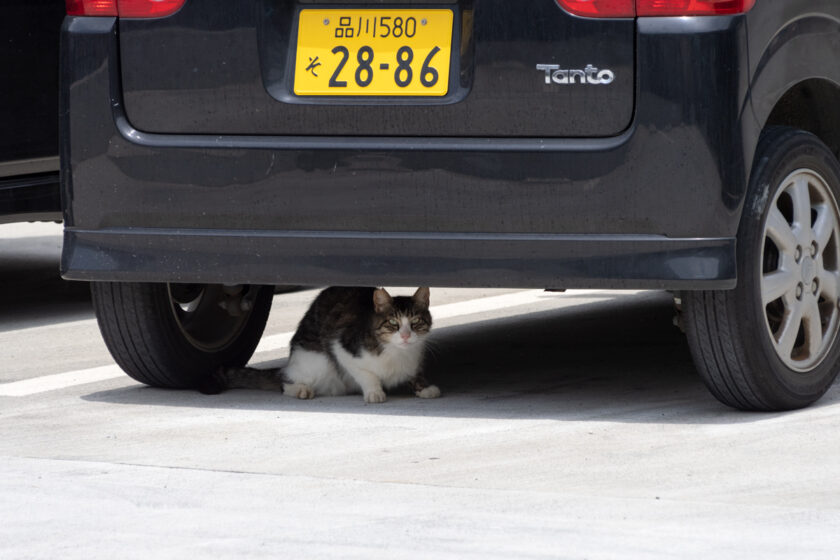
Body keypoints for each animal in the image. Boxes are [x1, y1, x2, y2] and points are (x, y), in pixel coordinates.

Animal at [202, 288, 440, 402]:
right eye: (393, 323)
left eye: (416, 322)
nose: (406, 336)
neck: (398, 353)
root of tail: (289, 363)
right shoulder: (341, 348)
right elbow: (365, 374)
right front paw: (374, 391)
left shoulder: (414, 359)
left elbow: (414, 373)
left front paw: (424, 387)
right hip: (318, 363)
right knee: (283, 382)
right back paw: (299, 389)